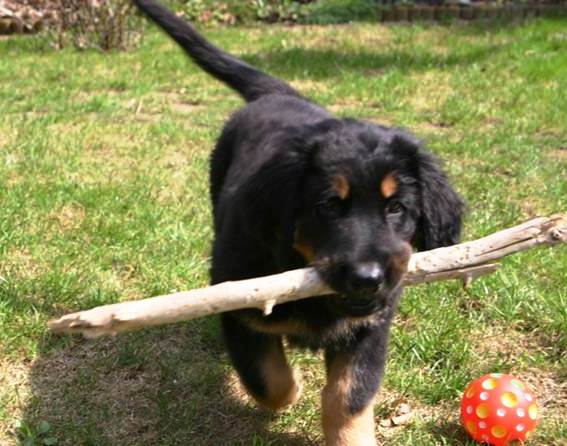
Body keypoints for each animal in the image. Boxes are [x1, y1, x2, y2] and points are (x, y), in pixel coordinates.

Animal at [133, 1, 464, 444]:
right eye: (329, 206)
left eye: (396, 208)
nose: (368, 278)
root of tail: (280, 95)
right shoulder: (242, 310)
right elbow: (267, 380)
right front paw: (295, 389)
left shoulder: (371, 325)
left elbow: (348, 397)